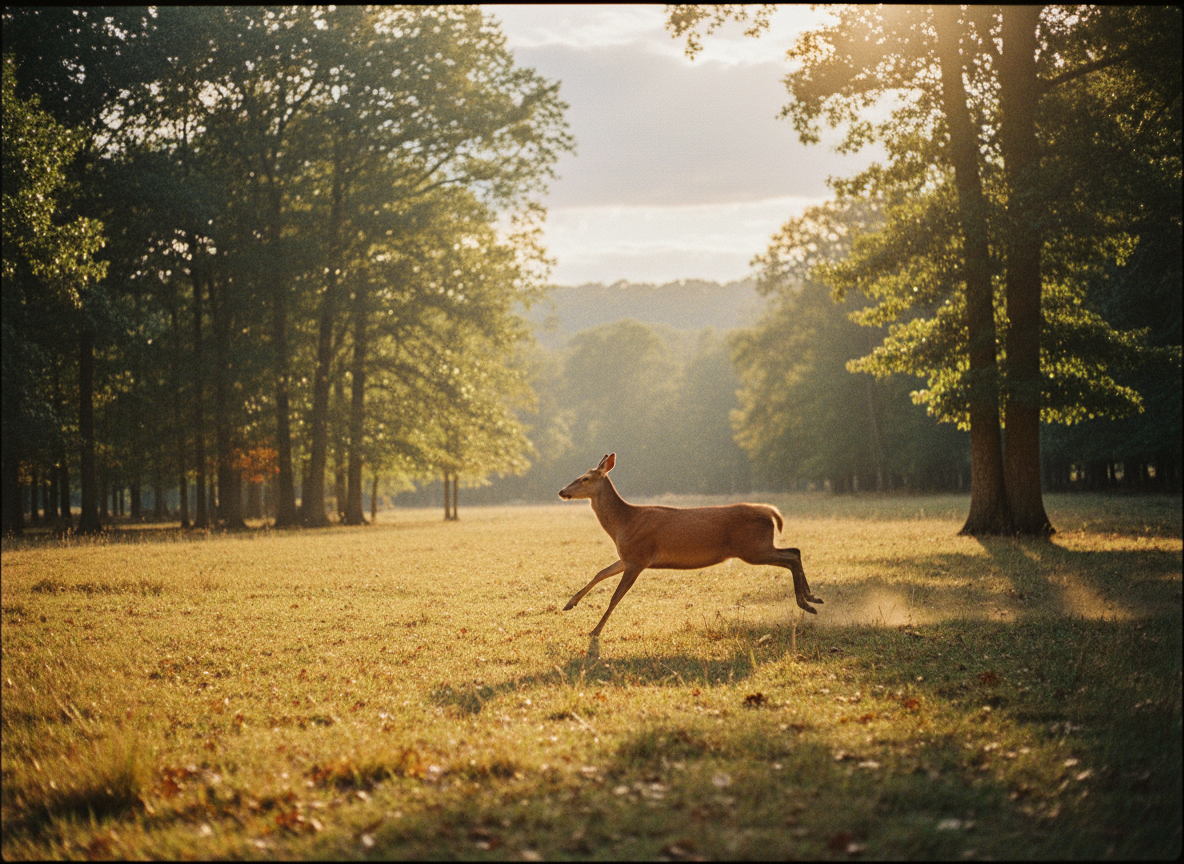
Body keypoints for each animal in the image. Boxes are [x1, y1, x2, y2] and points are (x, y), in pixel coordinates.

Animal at [558, 453, 822, 637]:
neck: (624, 524)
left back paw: (806, 602)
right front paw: (569, 604)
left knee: (792, 555)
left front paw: (595, 630)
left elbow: (615, 596)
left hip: (753, 548)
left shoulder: (639, 557)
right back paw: (812, 598)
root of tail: (771, 512)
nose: (562, 491)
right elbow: (600, 573)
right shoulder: (628, 557)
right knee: (794, 552)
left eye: (585, 478)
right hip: (759, 547)